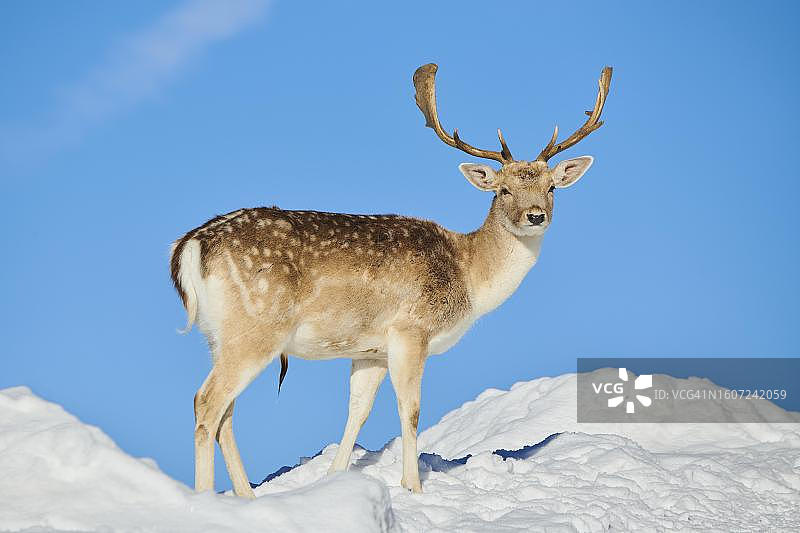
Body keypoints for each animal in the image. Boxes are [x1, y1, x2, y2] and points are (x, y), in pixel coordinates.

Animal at [169, 63, 612, 497]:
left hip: (218, 334)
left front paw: (335, 477)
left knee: (226, 412)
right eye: (502, 190)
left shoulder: (370, 350)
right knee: (206, 402)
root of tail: (190, 246)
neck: (469, 277)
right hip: (258, 328)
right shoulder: (410, 330)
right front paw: (412, 487)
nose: (535, 216)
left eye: (552, 187)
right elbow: (410, 410)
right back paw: (204, 496)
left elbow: (358, 411)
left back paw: (246, 496)